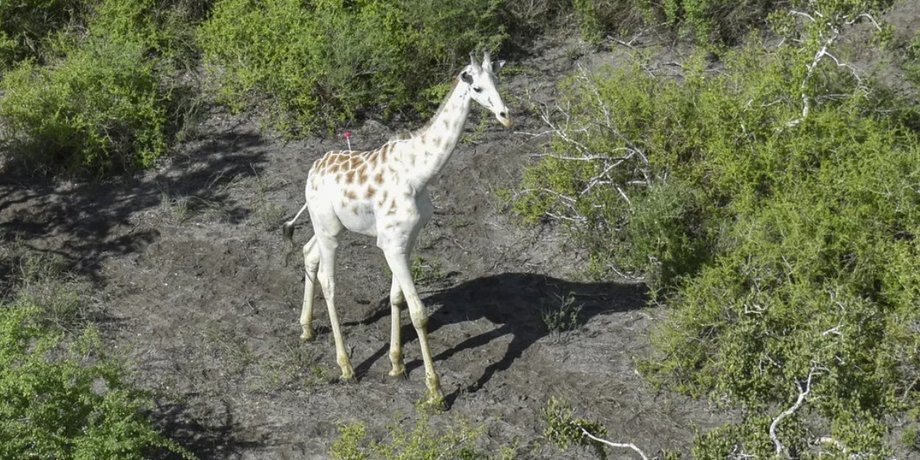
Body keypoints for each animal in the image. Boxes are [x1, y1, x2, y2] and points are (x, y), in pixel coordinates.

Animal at [283, 52, 510, 407]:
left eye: (497, 80)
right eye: (476, 86)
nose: (505, 116)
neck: (419, 174)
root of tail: (311, 171)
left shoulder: (407, 240)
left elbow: (396, 298)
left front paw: (397, 364)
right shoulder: (392, 243)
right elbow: (418, 313)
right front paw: (435, 391)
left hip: (330, 226)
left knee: (308, 253)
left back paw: (306, 329)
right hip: (329, 230)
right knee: (328, 281)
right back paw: (346, 367)